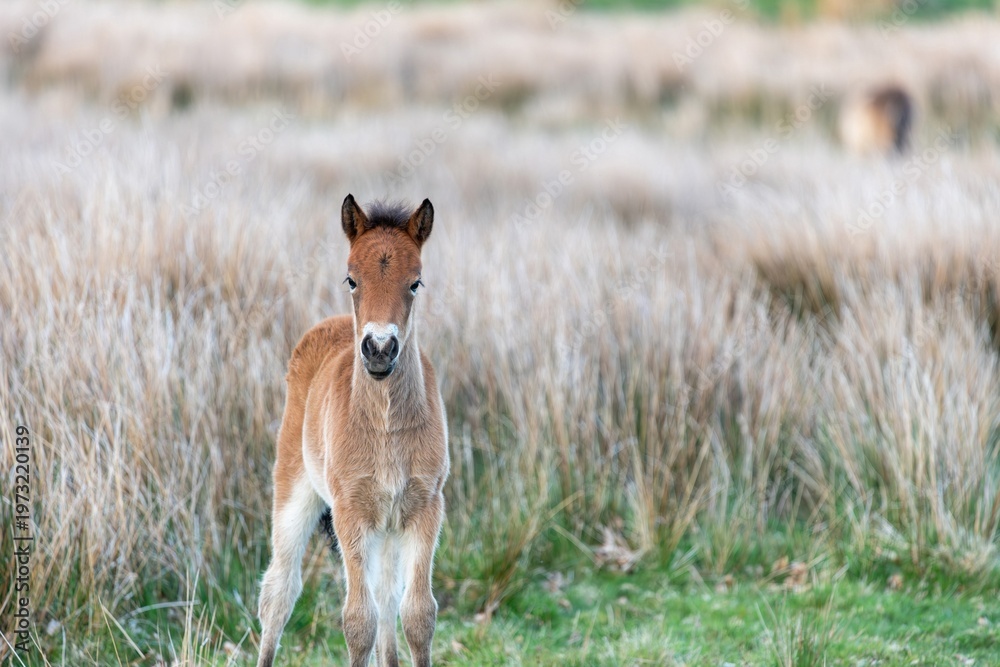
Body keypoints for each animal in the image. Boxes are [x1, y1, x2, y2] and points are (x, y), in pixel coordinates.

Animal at [256, 195, 449, 667]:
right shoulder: (349, 511)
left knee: (387, 598)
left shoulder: (425, 507)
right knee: (279, 591)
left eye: (416, 282)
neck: (386, 427)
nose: (379, 349)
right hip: (294, 489)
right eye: (351, 278)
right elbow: (359, 621)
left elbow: (417, 614)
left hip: (387, 527)